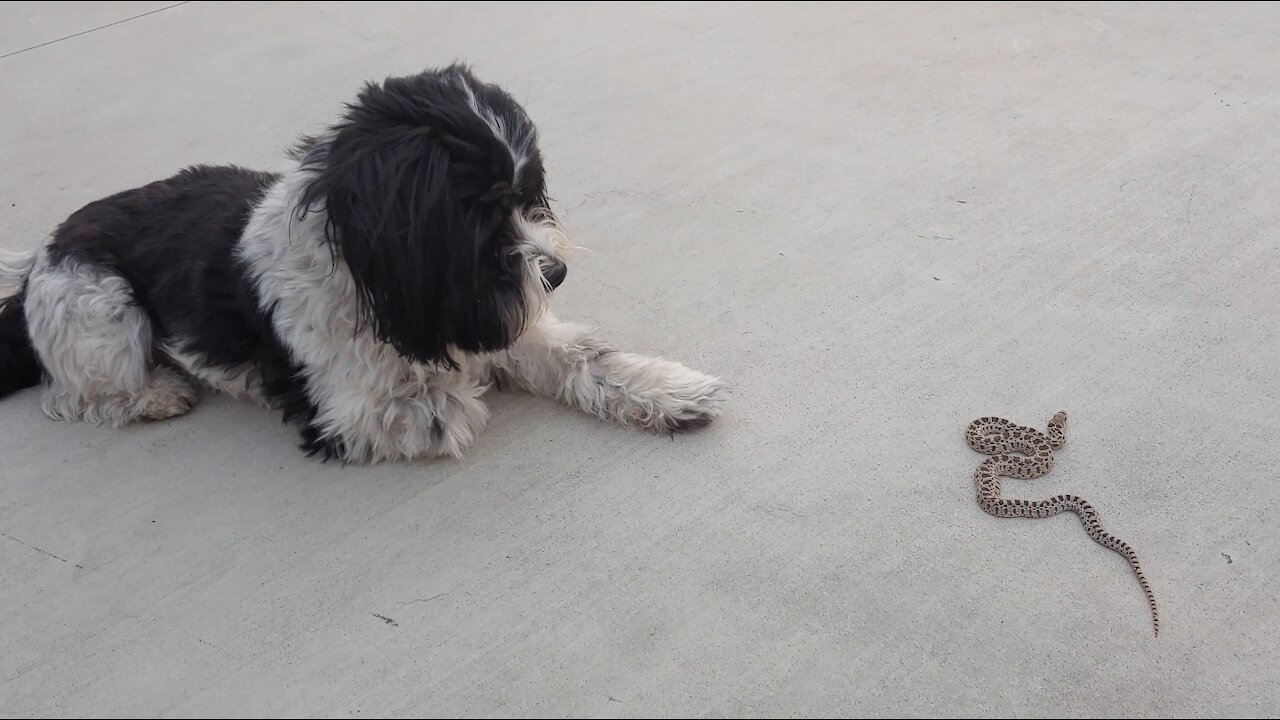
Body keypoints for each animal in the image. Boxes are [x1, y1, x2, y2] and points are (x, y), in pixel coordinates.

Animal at [0, 64, 727, 461]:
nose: (555, 273)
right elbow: (449, 403)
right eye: (481, 217)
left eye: (528, 196)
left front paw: (665, 390)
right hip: (102, 310)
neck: (378, 278)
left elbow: (582, 355)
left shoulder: (493, 319)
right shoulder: (348, 412)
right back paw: (157, 391)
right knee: (76, 398)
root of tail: (39, 259)